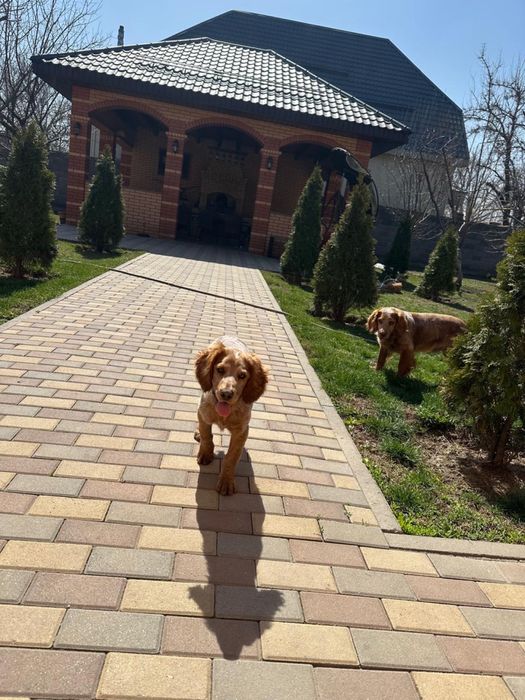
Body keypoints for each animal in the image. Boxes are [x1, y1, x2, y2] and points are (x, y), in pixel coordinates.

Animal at [194, 336, 268, 495]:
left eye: (242, 375)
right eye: (220, 370)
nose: (226, 394)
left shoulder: (241, 431)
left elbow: (231, 457)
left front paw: (226, 481)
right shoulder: (204, 414)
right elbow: (206, 436)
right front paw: (205, 454)